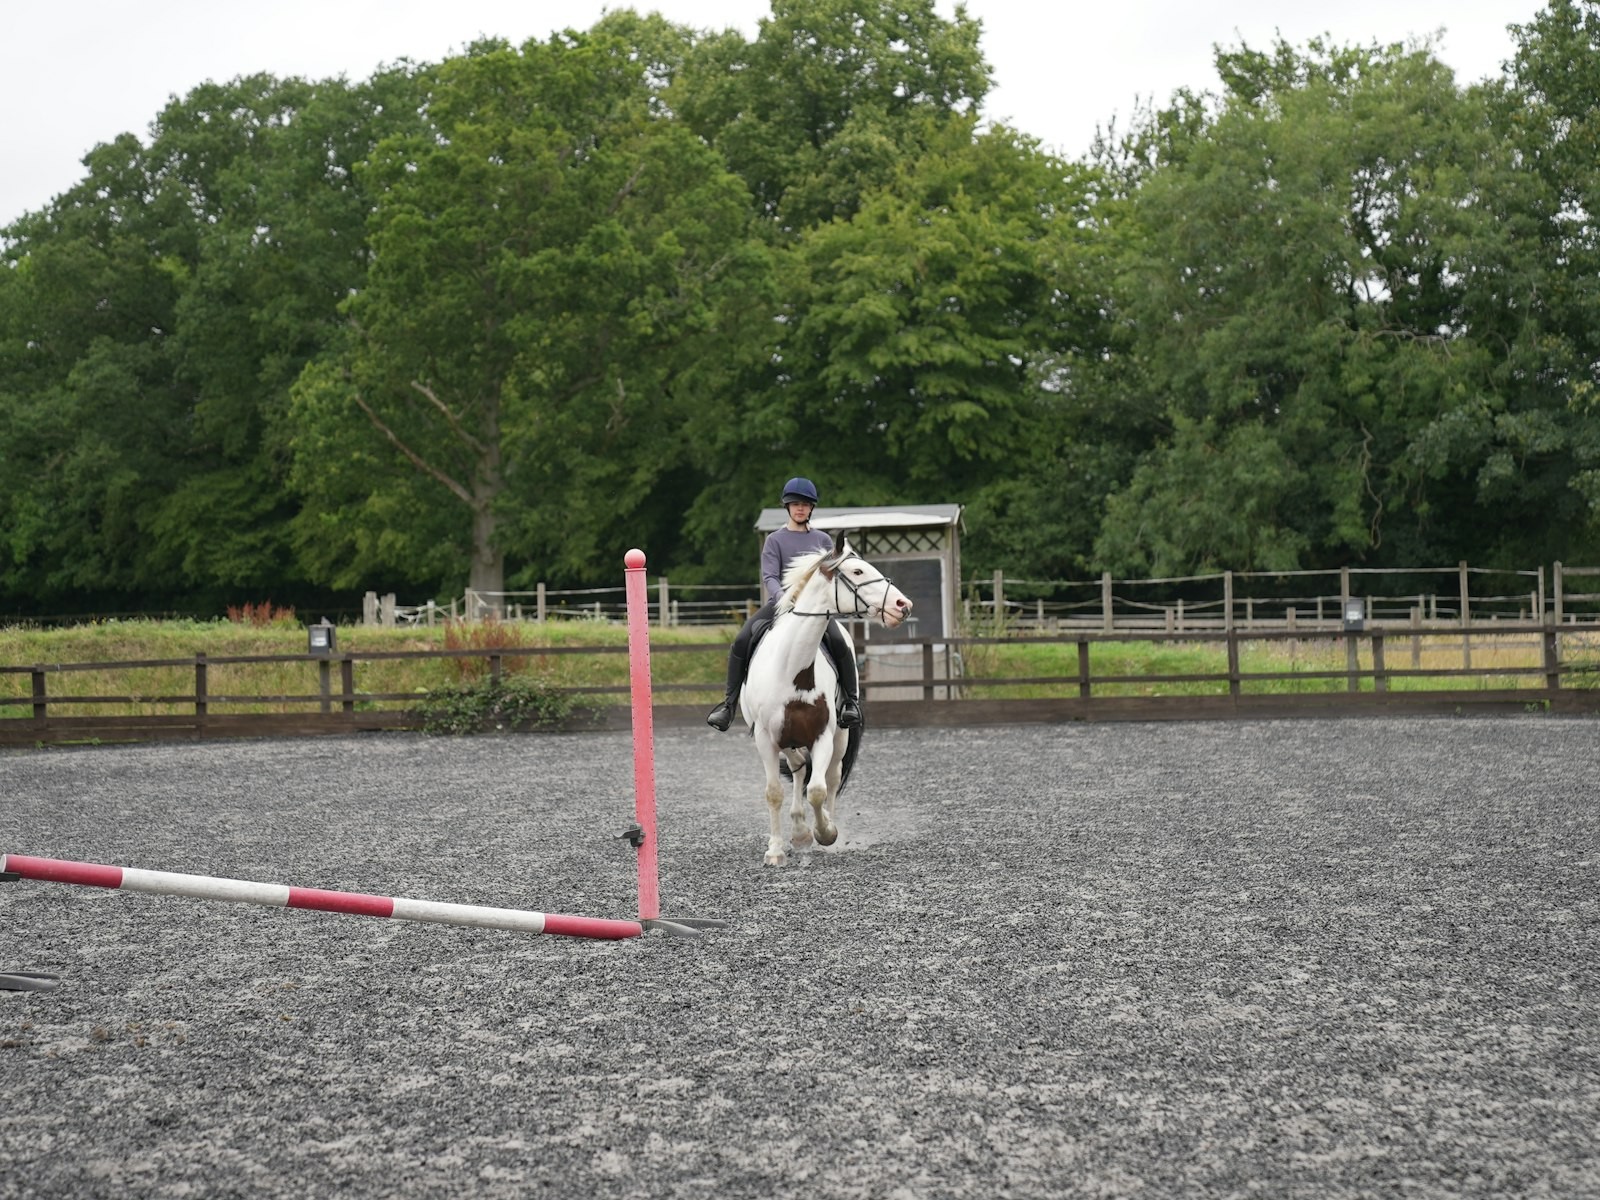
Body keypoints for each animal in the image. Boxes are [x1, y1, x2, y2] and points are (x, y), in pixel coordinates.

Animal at [739, 530, 913, 866]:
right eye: (857, 571)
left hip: (840, 738)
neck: (792, 670)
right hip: (788, 740)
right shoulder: (766, 739)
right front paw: (776, 850)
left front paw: (826, 833)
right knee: (797, 769)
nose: (903, 604)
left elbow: (818, 790)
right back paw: (798, 831)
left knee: (829, 779)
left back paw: (818, 830)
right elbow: (774, 792)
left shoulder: (823, 735)